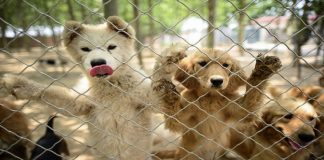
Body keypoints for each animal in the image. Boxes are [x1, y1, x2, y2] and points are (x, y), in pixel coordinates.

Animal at [0, 16, 156, 160]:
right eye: (85, 49)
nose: (97, 63)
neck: (109, 87)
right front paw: (19, 84)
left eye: (111, 47)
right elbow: (49, 91)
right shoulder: (78, 103)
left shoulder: (144, 97)